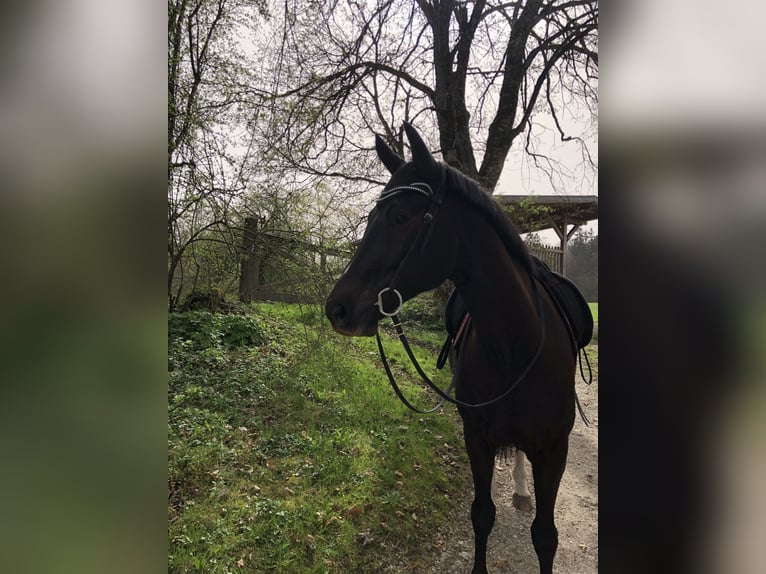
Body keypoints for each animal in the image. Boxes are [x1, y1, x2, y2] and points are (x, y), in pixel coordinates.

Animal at [324, 124, 576, 572]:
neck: (514, 347)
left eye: (400, 216)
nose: (338, 308)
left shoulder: (554, 451)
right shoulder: (476, 438)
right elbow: (482, 516)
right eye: (371, 218)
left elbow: (545, 537)